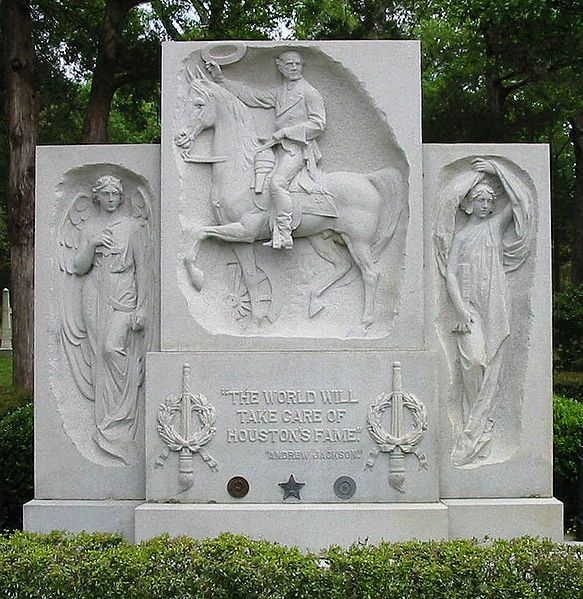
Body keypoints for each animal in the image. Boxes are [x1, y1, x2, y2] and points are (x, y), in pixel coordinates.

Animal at [177, 71, 406, 332]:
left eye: (198, 104)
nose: (180, 137)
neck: (240, 171)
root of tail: (368, 180)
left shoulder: (244, 230)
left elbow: (198, 232)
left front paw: (197, 279)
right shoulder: (241, 240)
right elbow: (251, 278)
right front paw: (255, 322)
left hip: (357, 242)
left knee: (370, 274)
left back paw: (363, 324)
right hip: (322, 239)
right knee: (342, 266)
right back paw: (315, 302)